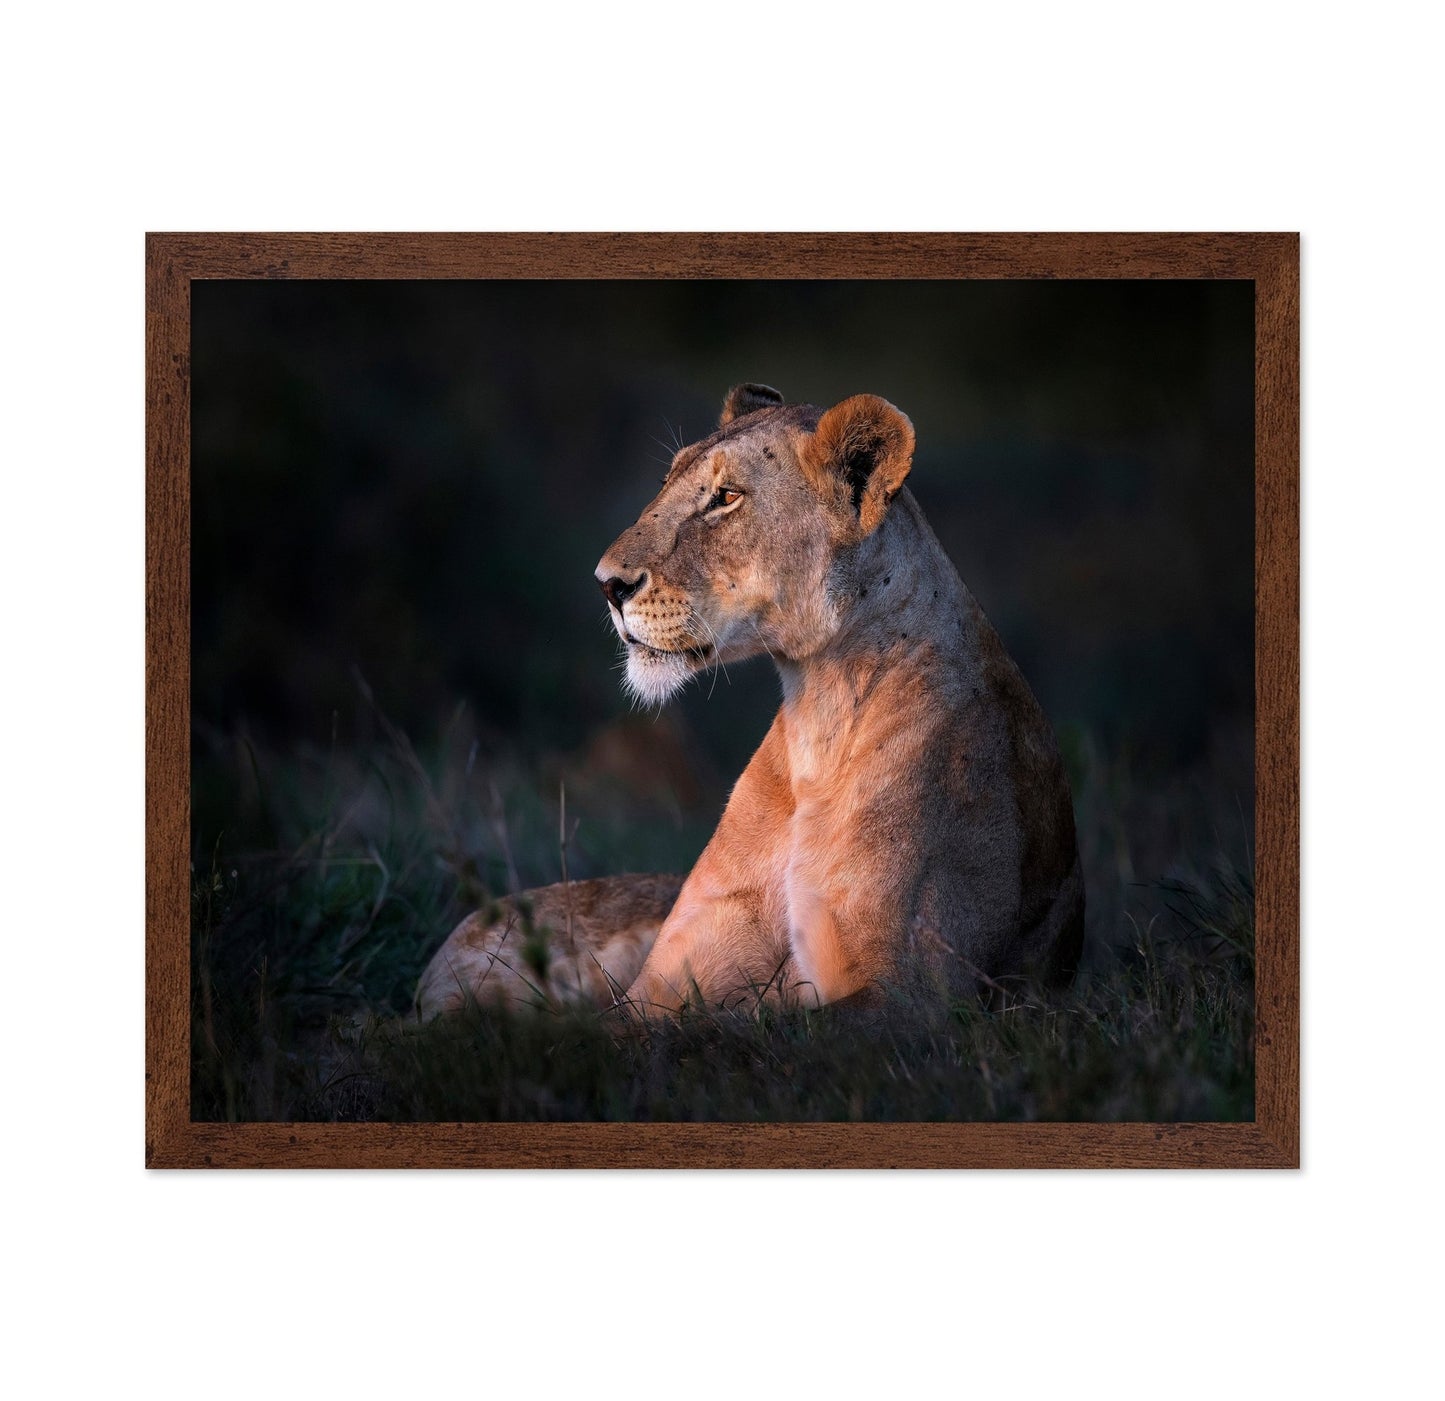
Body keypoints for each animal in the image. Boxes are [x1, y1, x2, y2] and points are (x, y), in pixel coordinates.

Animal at [415, 383, 1084, 1019]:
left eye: (726, 498)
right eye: (667, 483)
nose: (607, 584)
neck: (819, 716)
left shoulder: (916, 996)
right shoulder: (658, 985)